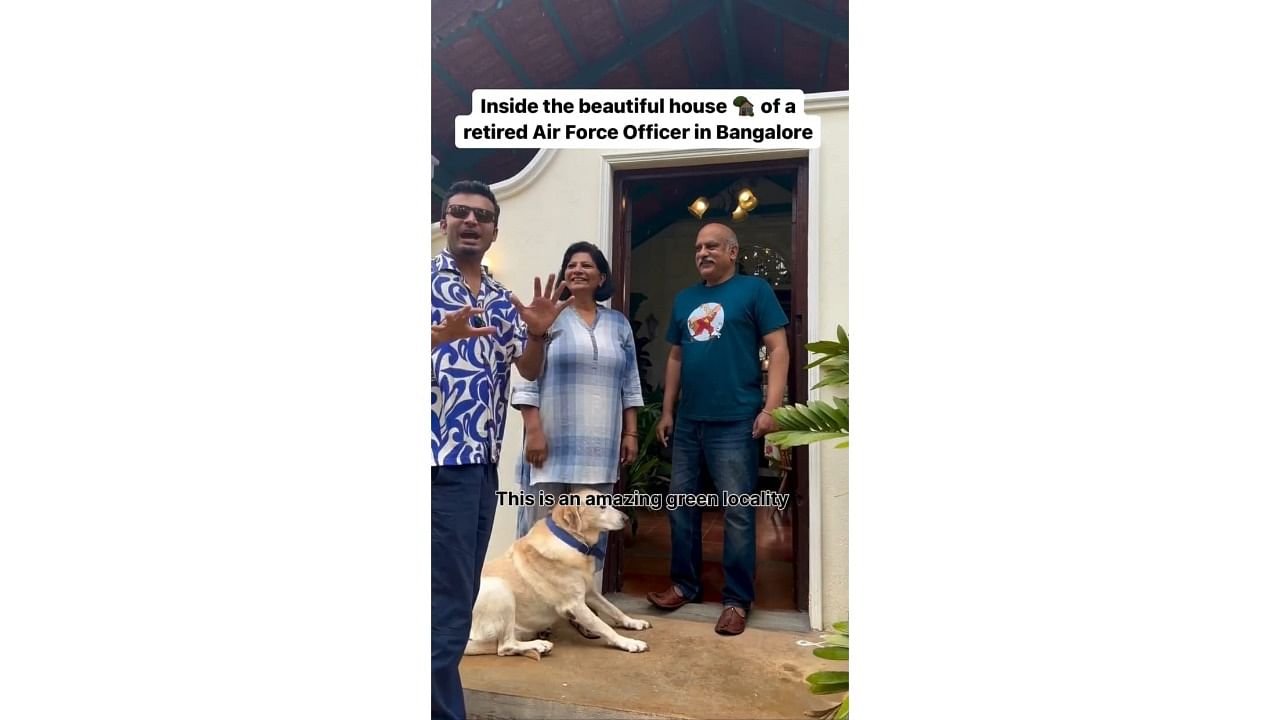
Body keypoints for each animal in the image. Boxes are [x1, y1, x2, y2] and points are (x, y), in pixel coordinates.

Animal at [463, 486, 650, 655]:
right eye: (601, 506)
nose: (627, 518)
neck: (571, 540)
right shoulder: (575, 604)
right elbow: (603, 626)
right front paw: (628, 642)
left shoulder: (590, 592)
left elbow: (613, 609)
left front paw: (633, 621)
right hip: (499, 587)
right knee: (504, 647)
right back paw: (539, 645)